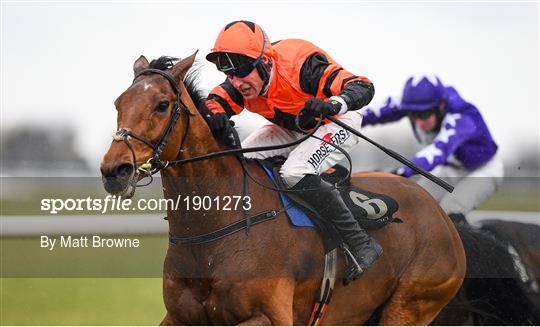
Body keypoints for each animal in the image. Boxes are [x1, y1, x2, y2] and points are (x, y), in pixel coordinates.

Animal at [101, 53, 464, 326]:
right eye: (118, 103)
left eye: (162, 104)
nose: (114, 170)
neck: (212, 228)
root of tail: (443, 217)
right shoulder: (180, 317)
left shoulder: (269, 316)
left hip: (411, 305)